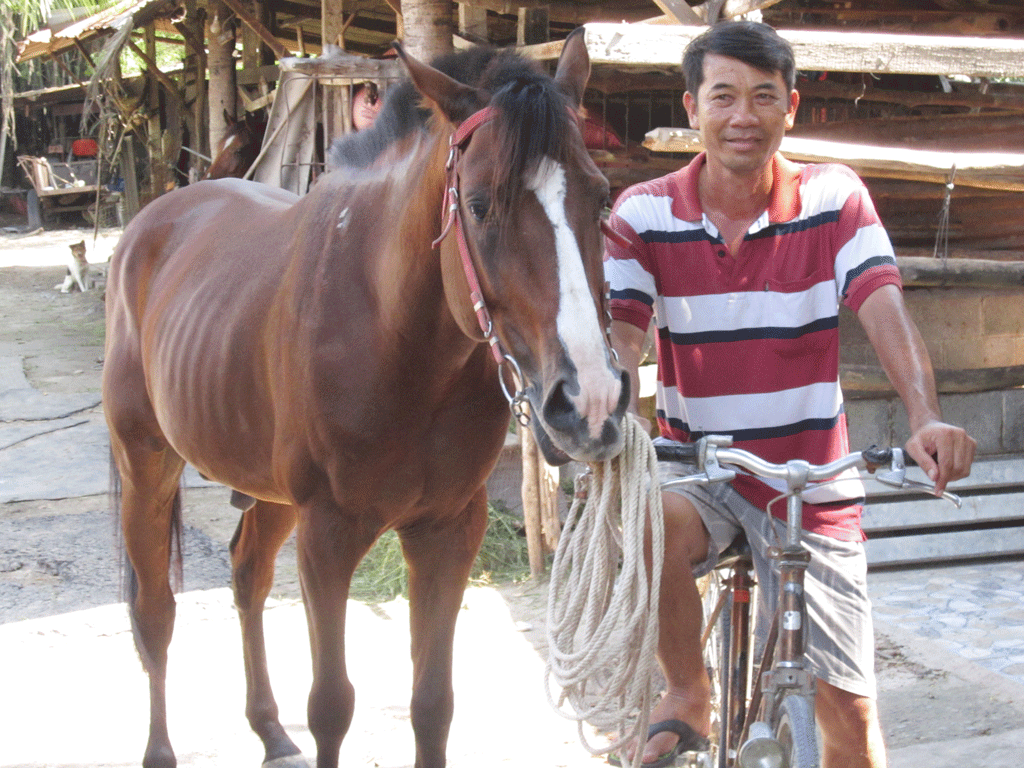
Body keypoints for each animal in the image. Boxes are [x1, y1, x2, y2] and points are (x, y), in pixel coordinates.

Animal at [108, 30, 626, 768]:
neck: (395, 337)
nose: (589, 404)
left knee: (246, 576)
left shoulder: (447, 532)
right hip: (145, 463)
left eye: (602, 197)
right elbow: (331, 706)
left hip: (269, 494)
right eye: (478, 205)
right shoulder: (327, 536)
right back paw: (162, 749)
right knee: (155, 613)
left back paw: (269, 731)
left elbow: (433, 704)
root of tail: (154, 220)